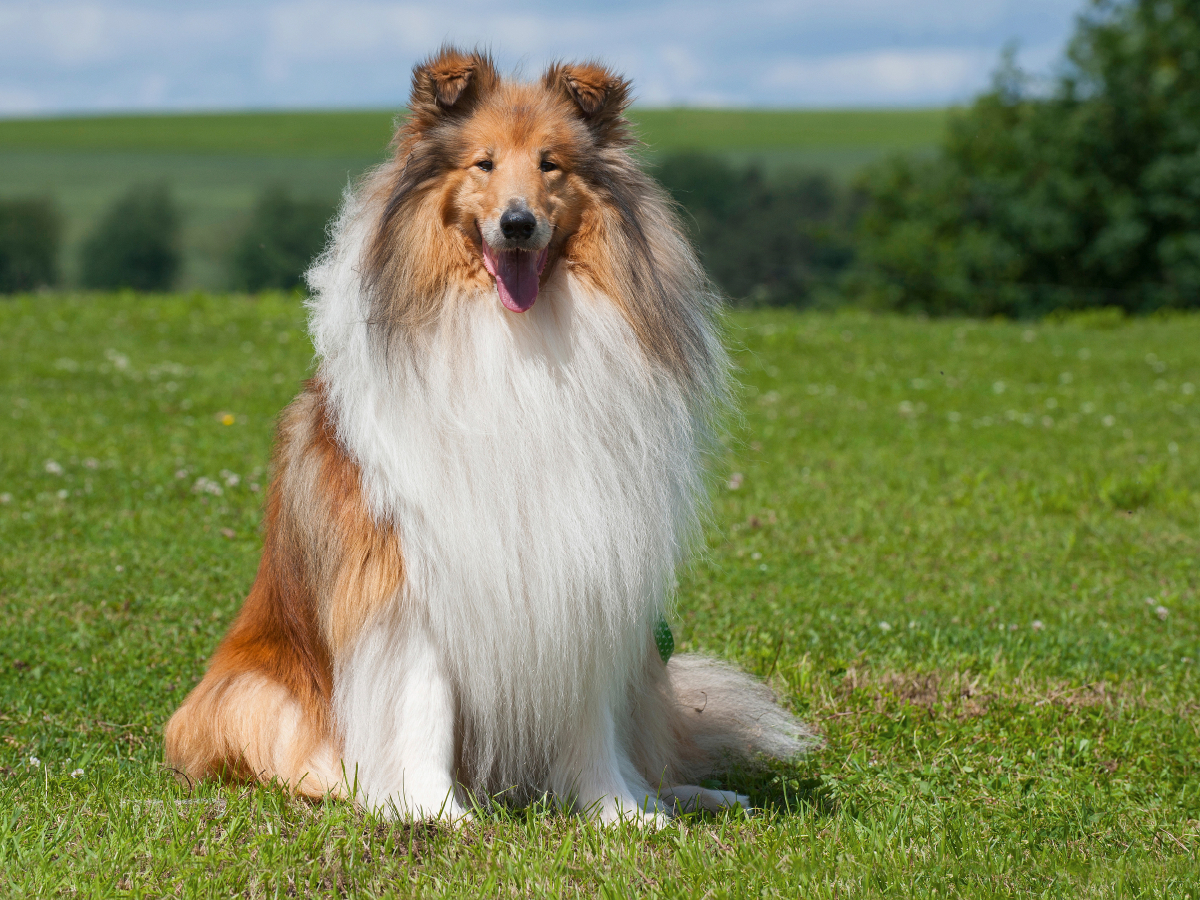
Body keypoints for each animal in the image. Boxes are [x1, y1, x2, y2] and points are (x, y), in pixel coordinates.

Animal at [164, 47, 811, 825]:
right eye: (483, 163)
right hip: (247, 694)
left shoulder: (589, 564)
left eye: (551, 165)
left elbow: (593, 718)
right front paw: (433, 811)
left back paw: (694, 794)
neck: (516, 337)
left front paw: (620, 812)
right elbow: (424, 703)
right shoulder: (411, 573)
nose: (518, 224)